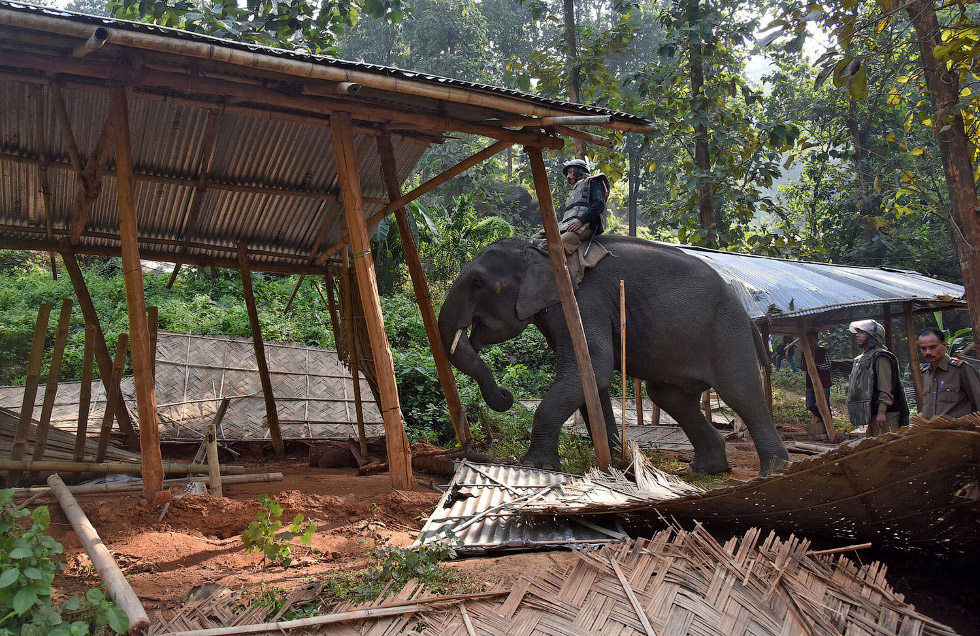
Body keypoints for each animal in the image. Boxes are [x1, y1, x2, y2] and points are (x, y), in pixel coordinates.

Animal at [440, 237, 792, 476]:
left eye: (478, 283)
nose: (506, 394)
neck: (540, 250)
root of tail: (748, 313)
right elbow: (590, 379)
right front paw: (614, 464)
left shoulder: (583, 303)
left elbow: (593, 367)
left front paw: (536, 466)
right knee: (668, 396)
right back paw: (705, 470)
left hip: (727, 332)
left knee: (740, 392)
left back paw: (773, 472)